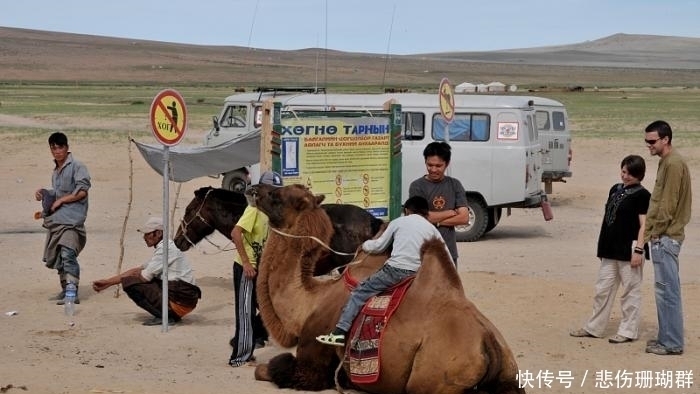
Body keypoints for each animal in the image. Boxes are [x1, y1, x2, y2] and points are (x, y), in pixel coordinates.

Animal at [254, 185, 524, 394]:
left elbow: (268, 368)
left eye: (277, 196)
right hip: (510, 379)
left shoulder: (312, 363)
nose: (253, 189)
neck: (309, 302)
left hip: (432, 380)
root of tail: (491, 346)